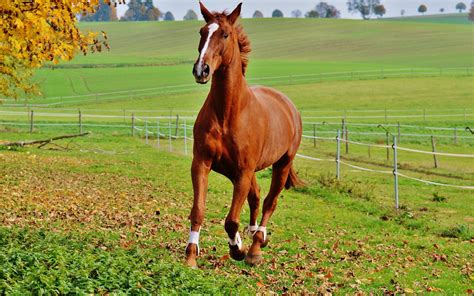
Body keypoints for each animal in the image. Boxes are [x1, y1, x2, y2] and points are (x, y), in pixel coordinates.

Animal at [185, 1, 304, 268]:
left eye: (225, 34)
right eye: (202, 32)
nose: (201, 70)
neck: (228, 113)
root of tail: (289, 106)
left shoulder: (243, 171)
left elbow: (231, 220)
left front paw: (237, 249)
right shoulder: (202, 163)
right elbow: (198, 211)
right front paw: (190, 256)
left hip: (281, 165)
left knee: (269, 202)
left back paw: (256, 246)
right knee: (256, 197)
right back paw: (252, 235)